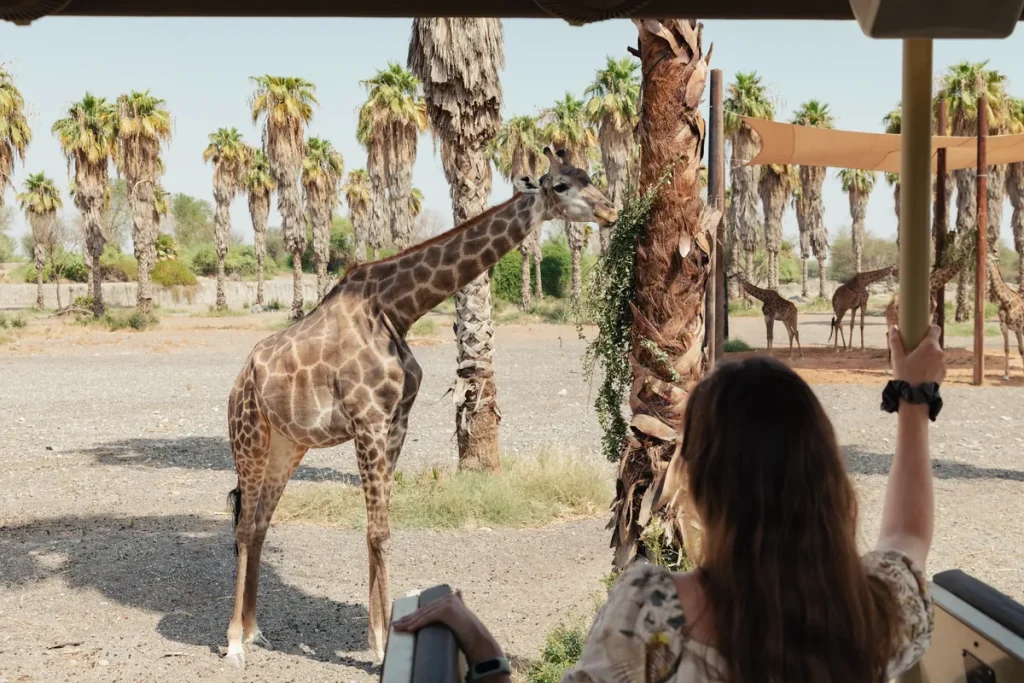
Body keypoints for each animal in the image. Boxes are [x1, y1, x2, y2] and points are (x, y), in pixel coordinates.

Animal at [221, 148, 616, 668]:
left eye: (589, 175)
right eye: (561, 186)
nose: (611, 211)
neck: (398, 308)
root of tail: (241, 379)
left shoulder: (396, 422)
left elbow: (379, 528)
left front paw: (377, 640)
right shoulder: (368, 420)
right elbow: (378, 532)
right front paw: (382, 645)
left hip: (288, 445)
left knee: (262, 523)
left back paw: (254, 630)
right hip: (249, 436)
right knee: (245, 527)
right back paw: (232, 643)